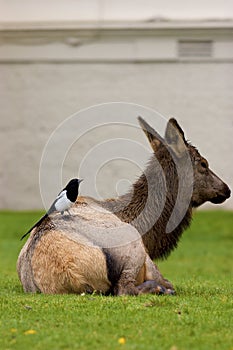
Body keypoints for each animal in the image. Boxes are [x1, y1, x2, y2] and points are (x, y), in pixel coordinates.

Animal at [17, 118, 230, 296]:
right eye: (204, 163)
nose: (226, 189)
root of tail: (71, 272)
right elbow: (167, 280)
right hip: (131, 246)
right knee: (125, 288)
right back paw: (160, 290)